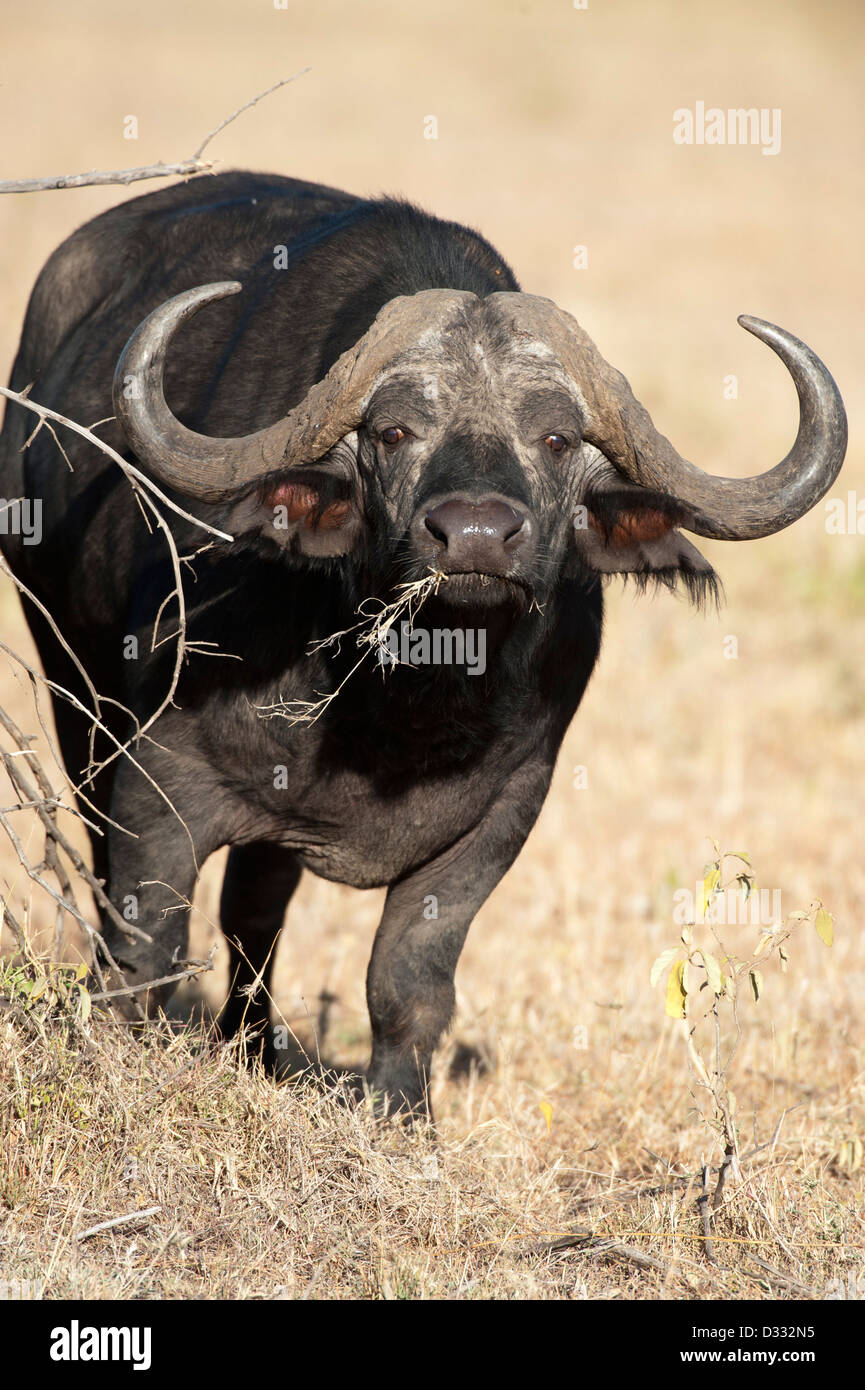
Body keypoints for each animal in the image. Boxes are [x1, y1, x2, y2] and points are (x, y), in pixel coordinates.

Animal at [0, 170, 845, 1117]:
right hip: (74, 697)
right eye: (394, 432)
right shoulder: (159, 785)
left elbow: (407, 982)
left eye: (556, 438)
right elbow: (143, 948)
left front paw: (404, 1118)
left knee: (257, 914)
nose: (474, 535)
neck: (399, 706)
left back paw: (255, 1049)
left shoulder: (500, 817)